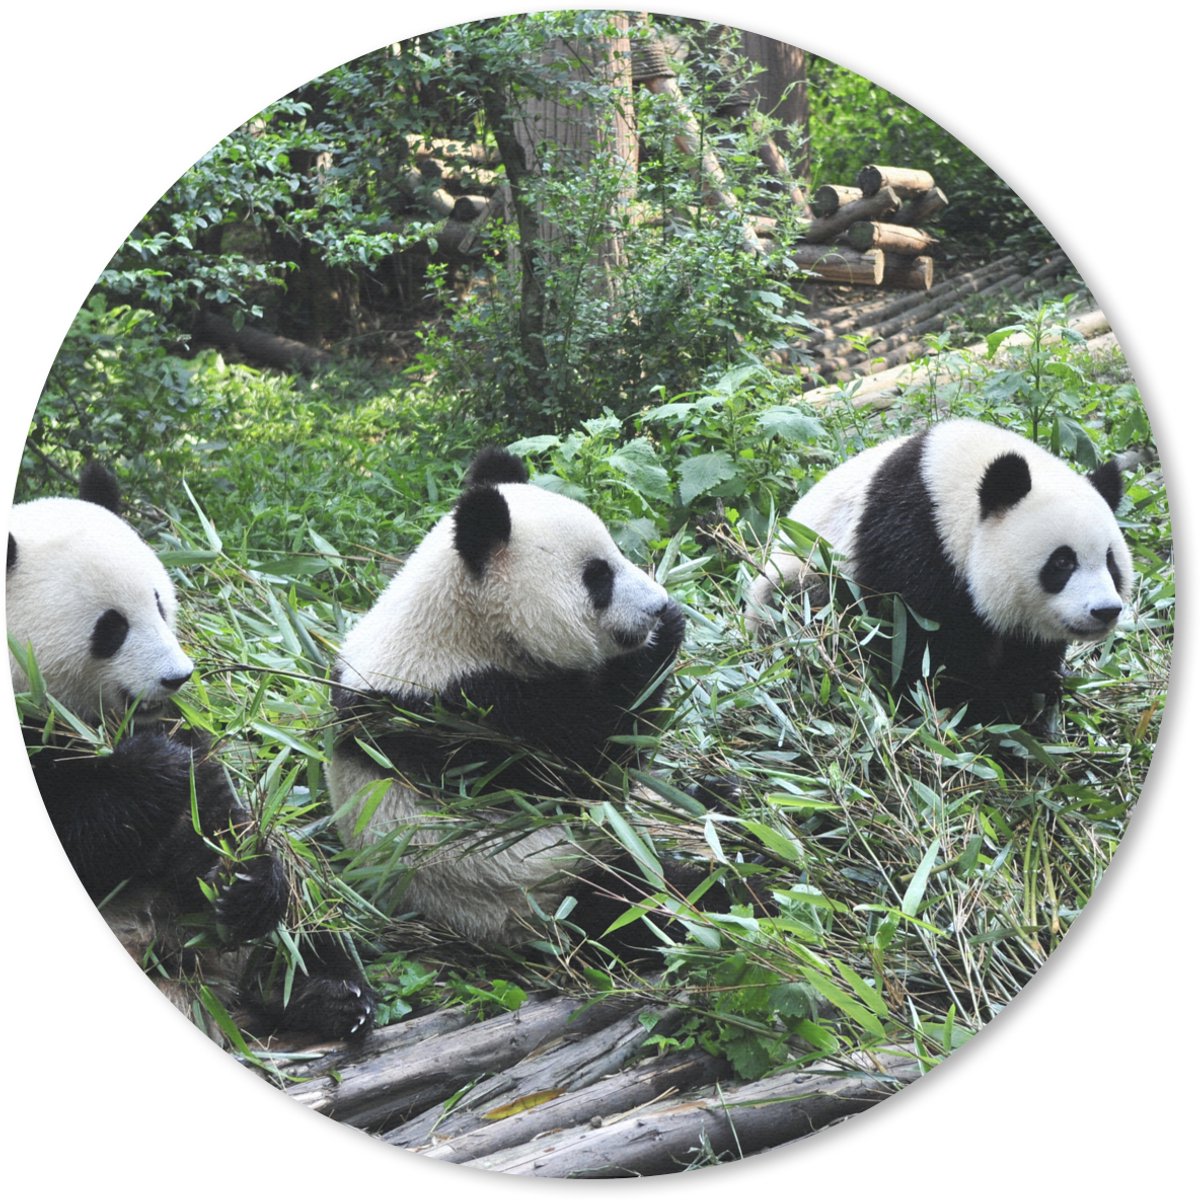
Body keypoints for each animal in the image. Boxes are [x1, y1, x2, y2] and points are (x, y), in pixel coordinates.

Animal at [8, 463, 374, 1040]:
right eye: (111, 627)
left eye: (160, 602)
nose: (177, 677)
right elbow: (88, 839)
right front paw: (155, 768)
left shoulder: (185, 727)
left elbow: (218, 821)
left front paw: (245, 883)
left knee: (308, 921)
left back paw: (326, 992)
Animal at [329, 446, 694, 952]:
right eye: (597, 577)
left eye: (618, 552)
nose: (657, 605)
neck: (466, 626)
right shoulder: (463, 716)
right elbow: (584, 768)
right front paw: (661, 640)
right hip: (533, 888)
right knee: (638, 902)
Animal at [747, 418, 1134, 726]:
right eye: (1062, 562)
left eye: (1110, 562)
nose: (1104, 611)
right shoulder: (911, 544)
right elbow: (918, 646)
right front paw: (978, 707)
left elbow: (1027, 650)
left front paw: (1033, 690)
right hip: (802, 575)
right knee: (804, 606)